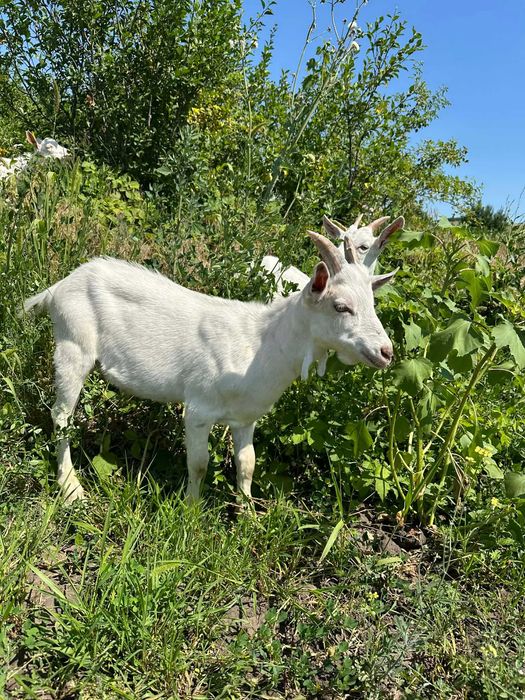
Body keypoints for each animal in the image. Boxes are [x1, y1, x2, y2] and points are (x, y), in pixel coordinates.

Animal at [24, 232, 396, 504]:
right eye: (341, 306)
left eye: (372, 302)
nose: (386, 352)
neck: (259, 345)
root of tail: (58, 287)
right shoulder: (199, 410)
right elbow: (199, 464)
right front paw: (191, 510)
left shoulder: (246, 417)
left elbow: (247, 464)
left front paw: (247, 513)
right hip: (73, 342)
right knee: (61, 416)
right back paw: (71, 488)